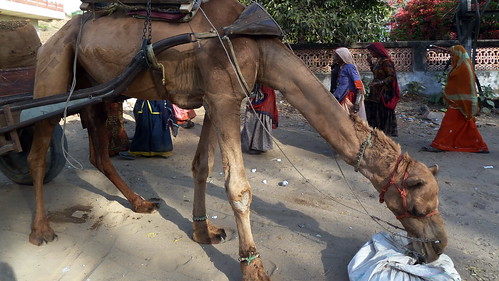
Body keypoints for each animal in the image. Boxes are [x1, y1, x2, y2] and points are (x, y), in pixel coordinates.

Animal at [27, 1, 450, 278]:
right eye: (417, 204)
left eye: (433, 201)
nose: (438, 246)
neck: (261, 47)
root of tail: (54, 36)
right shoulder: (225, 95)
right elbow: (239, 188)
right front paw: (254, 268)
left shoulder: (216, 98)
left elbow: (202, 166)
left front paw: (204, 232)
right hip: (53, 72)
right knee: (38, 147)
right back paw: (41, 230)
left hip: (96, 90)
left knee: (99, 152)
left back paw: (142, 202)